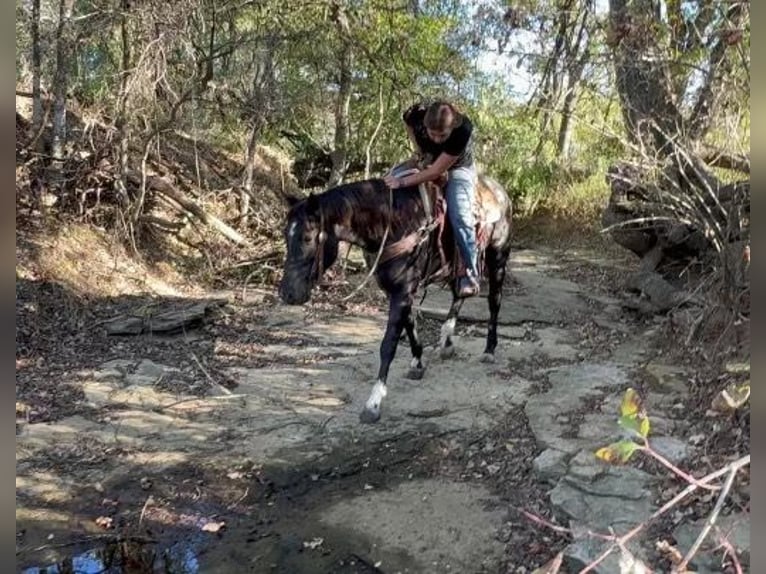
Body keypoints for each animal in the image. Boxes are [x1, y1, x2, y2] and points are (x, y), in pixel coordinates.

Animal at [280, 173, 512, 426]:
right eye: (284, 235)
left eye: (307, 237)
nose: (287, 294)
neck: (391, 223)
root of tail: (501, 192)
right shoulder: (398, 291)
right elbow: (410, 326)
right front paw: (417, 363)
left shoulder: (402, 291)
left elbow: (389, 344)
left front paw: (373, 403)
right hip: (455, 268)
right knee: (459, 294)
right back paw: (447, 341)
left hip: (498, 258)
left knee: (494, 301)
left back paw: (489, 350)